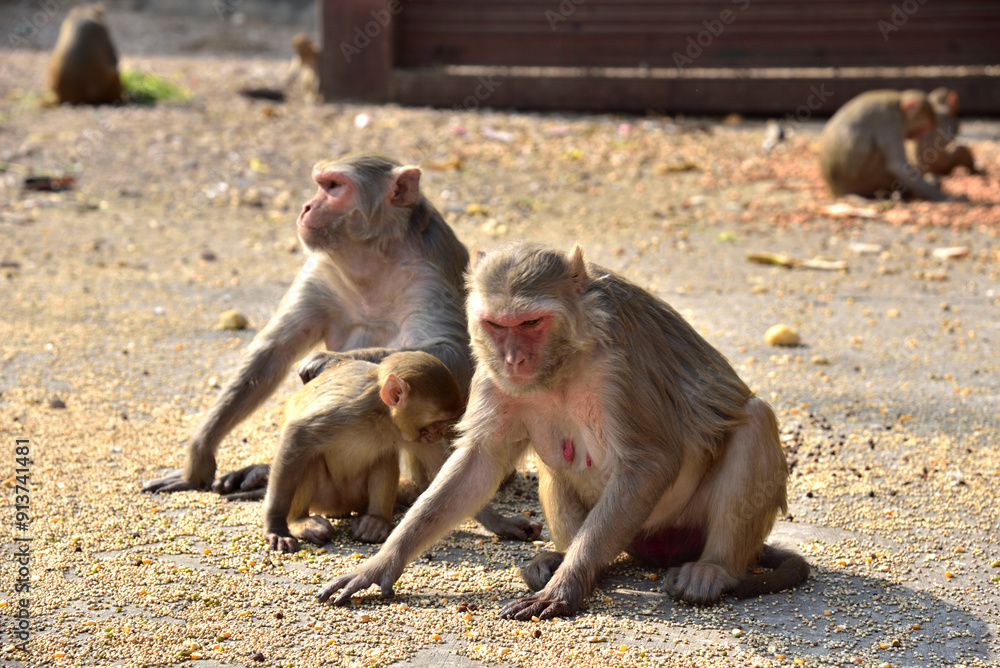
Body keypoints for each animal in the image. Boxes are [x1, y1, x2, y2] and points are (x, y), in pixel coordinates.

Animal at [265, 351, 464, 552]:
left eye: (443, 423)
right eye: (437, 422)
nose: (440, 432)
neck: (383, 415)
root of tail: (341, 506)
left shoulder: (414, 436)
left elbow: (443, 464)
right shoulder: (346, 410)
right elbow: (297, 436)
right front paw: (276, 527)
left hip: (357, 493)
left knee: (385, 456)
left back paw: (376, 520)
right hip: (324, 497)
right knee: (308, 458)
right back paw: (300, 521)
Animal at [317, 242, 809, 618]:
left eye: (531, 322)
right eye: (496, 325)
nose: (514, 359)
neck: (563, 361)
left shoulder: (619, 368)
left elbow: (650, 462)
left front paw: (566, 587)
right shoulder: (492, 375)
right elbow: (479, 462)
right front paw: (382, 563)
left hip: (680, 524)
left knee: (755, 422)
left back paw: (711, 570)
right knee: (555, 467)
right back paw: (570, 561)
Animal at [819, 89, 961, 201]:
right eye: (924, 127)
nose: (919, 135)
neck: (899, 105)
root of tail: (836, 189)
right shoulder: (890, 121)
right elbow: (897, 165)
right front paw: (946, 197)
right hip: (860, 178)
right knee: (867, 142)